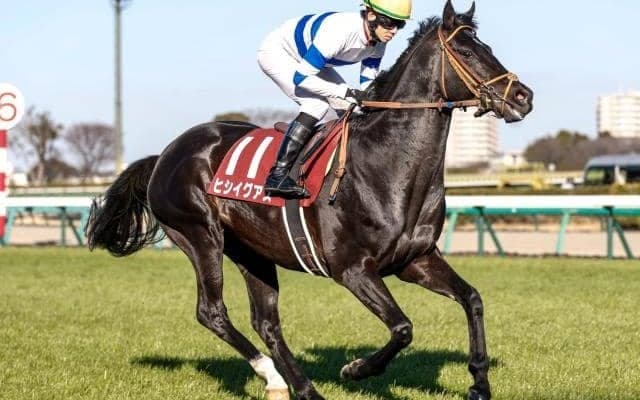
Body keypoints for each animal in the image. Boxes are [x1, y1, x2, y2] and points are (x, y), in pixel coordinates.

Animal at [87, 2, 533, 399]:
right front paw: (356, 369)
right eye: (467, 52)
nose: (523, 97)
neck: (387, 164)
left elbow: (472, 299)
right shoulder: (352, 269)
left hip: (252, 251)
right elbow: (403, 328)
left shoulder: (416, 260)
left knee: (266, 322)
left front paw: (478, 383)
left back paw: (293, 385)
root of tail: (164, 154)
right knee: (211, 312)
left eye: (488, 47)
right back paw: (276, 376)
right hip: (199, 236)